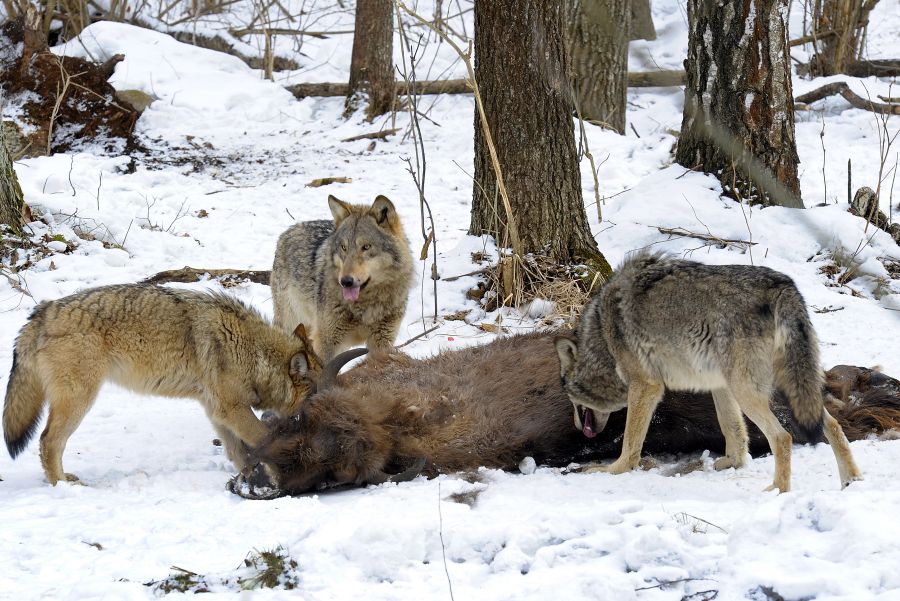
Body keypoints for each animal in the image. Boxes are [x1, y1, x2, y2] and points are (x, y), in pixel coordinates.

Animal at [2, 284, 320, 486]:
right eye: (318, 394)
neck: (252, 350)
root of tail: (42, 312)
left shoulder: (216, 410)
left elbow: (237, 450)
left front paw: (251, 476)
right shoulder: (233, 409)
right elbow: (263, 437)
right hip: (80, 401)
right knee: (48, 441)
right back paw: (61, 485)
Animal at [270, 195, 414, 360]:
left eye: (366, 247)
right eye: (344, 248)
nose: (345, 282)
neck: (366, 307)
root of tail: (288, 230)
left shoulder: (382, 344)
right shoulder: (326, 343)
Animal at [556, 251, 864, 490]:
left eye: (569, 397)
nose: (577, 427)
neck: (603, 337)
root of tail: (782, 285)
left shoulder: (646, 386)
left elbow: (631, 443)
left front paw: (611, 470)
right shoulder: (720, 385)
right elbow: (733, 429)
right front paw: (733, 462)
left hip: (751, 391)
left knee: (782, 437)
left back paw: (778, 490)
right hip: (783, 388)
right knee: (832, 425)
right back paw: (851, 481)